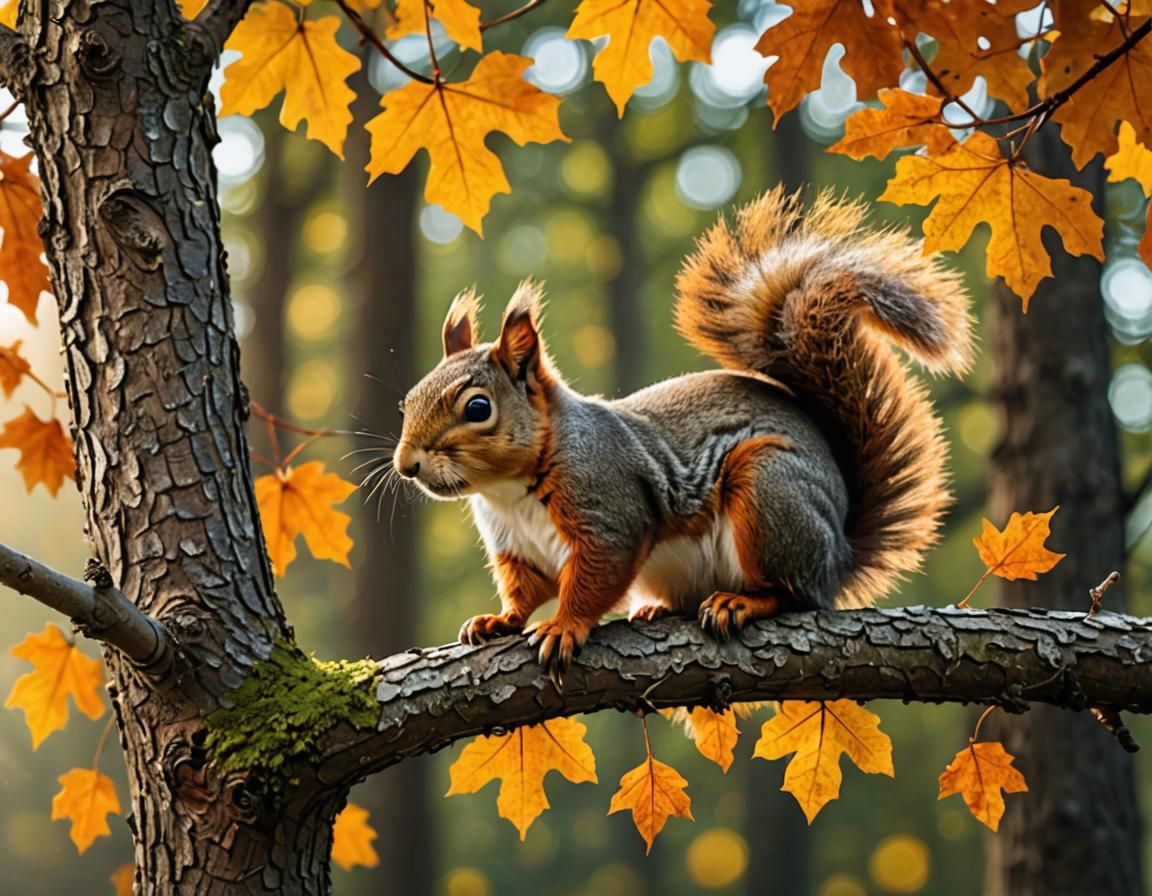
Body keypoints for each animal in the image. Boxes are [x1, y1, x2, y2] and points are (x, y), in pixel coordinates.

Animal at [393, 189, 973, 676]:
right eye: (407, 400)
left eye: (478, 407)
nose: (406, 465)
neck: (509, 490)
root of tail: (840, 554)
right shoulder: (515, 547)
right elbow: (524, 590)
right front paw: (498, 620)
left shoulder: (611, 511)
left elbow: (594, 580)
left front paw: (563, 626)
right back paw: (657, 609)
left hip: (770, 493)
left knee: (795, 595)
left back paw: (741, 602)